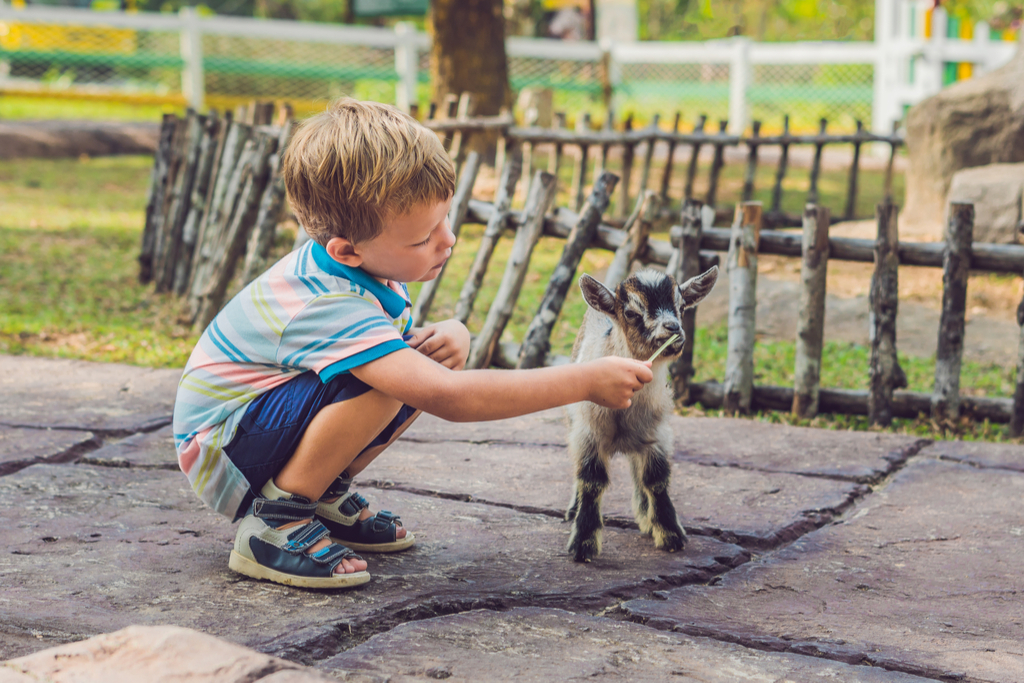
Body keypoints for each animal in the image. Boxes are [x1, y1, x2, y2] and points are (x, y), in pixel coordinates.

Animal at [561, 266, 720, 561]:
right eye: (632, 313)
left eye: (682, 306)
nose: (673, 328)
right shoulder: (588, 434)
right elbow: (591, 480)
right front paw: (583, 544)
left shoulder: (656, 435)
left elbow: (656, 480)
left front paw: (670, 534)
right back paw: (573, 510)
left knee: (637, 470)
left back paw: (647, 517)